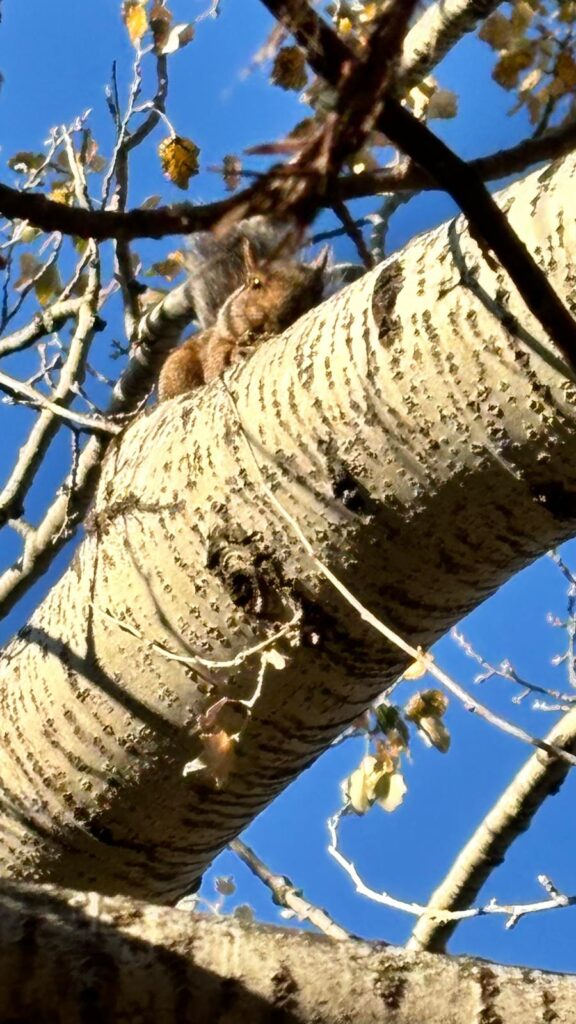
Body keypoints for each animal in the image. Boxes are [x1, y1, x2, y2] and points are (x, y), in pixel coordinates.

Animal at [156, 218, 327, 401]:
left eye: (318, 292)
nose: (284, 314)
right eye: (255, 282)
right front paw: (236, 352)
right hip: (177, 366)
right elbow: (214, 363)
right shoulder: (217, 340)